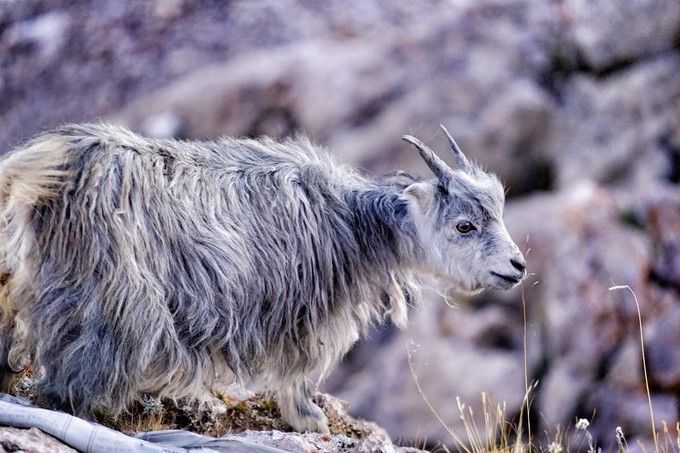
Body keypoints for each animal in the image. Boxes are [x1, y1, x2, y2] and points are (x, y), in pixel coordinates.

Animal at [0, 122, 524, 430]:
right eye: (464, 225)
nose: (518, 267)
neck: (350, 221)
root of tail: (50, 166)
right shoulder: (303, 310)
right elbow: (300, 369)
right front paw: (309, 419)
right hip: (111, 290)